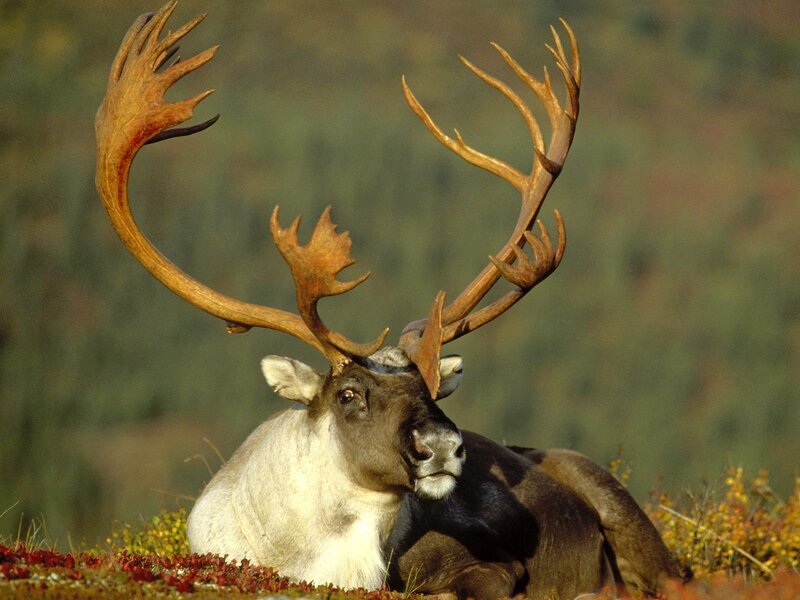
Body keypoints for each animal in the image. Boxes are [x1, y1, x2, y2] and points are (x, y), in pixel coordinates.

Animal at [95, 2, 688, 598]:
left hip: (617, 500)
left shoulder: (494, 566)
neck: (317, 559)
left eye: (432, 389)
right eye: (348, 395)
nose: (443, 446)